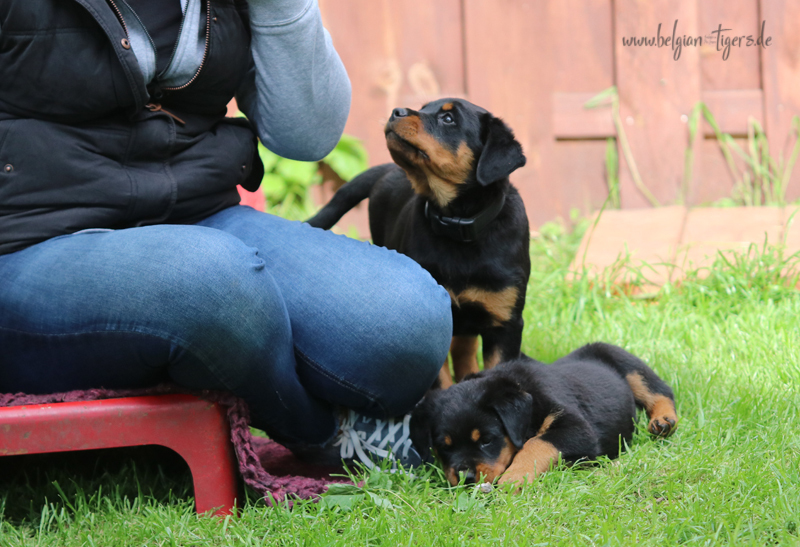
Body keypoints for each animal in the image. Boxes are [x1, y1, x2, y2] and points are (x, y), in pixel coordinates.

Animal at [308, 99, 531, 388]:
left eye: (448, 119)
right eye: (424, 108)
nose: (396, 111)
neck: (457, 227)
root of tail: (387, 170)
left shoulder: (505, 324)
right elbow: (439, 381)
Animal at [409, 342, 678, 488]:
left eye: (486, 440)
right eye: (444, 447)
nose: (465, 477)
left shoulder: (577, 427)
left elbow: (536, 443)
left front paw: (515, 478)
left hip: (625, 362)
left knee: (660, 390)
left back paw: (663, 421)